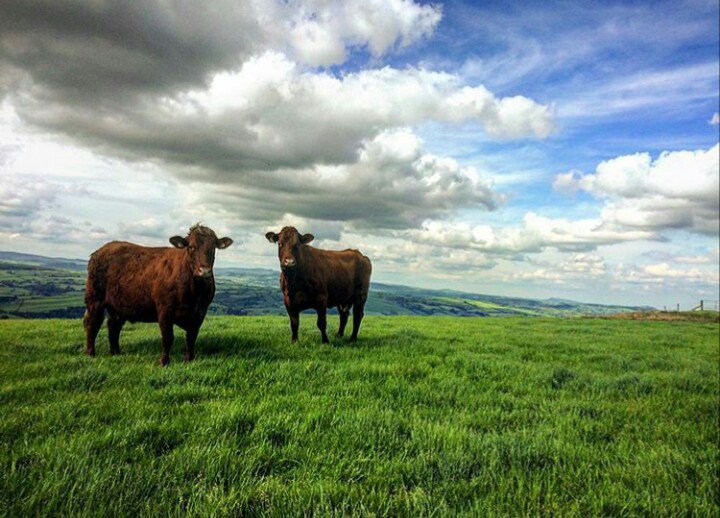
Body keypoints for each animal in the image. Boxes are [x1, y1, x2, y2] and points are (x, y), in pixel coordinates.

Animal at [83, 224, 233, 366]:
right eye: (191, 247)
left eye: (213, 248)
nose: (204, 271)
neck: (193, 294)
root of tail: (101, 249)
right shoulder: (164, 310)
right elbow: (168, 337)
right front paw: (164, 361)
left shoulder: (200, 312)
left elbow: (192, 337)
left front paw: (189, 359)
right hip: (95, 298)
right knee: (92, 323)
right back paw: (90, 353)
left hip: (118, 305)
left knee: (113, 325)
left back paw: (115, 352)